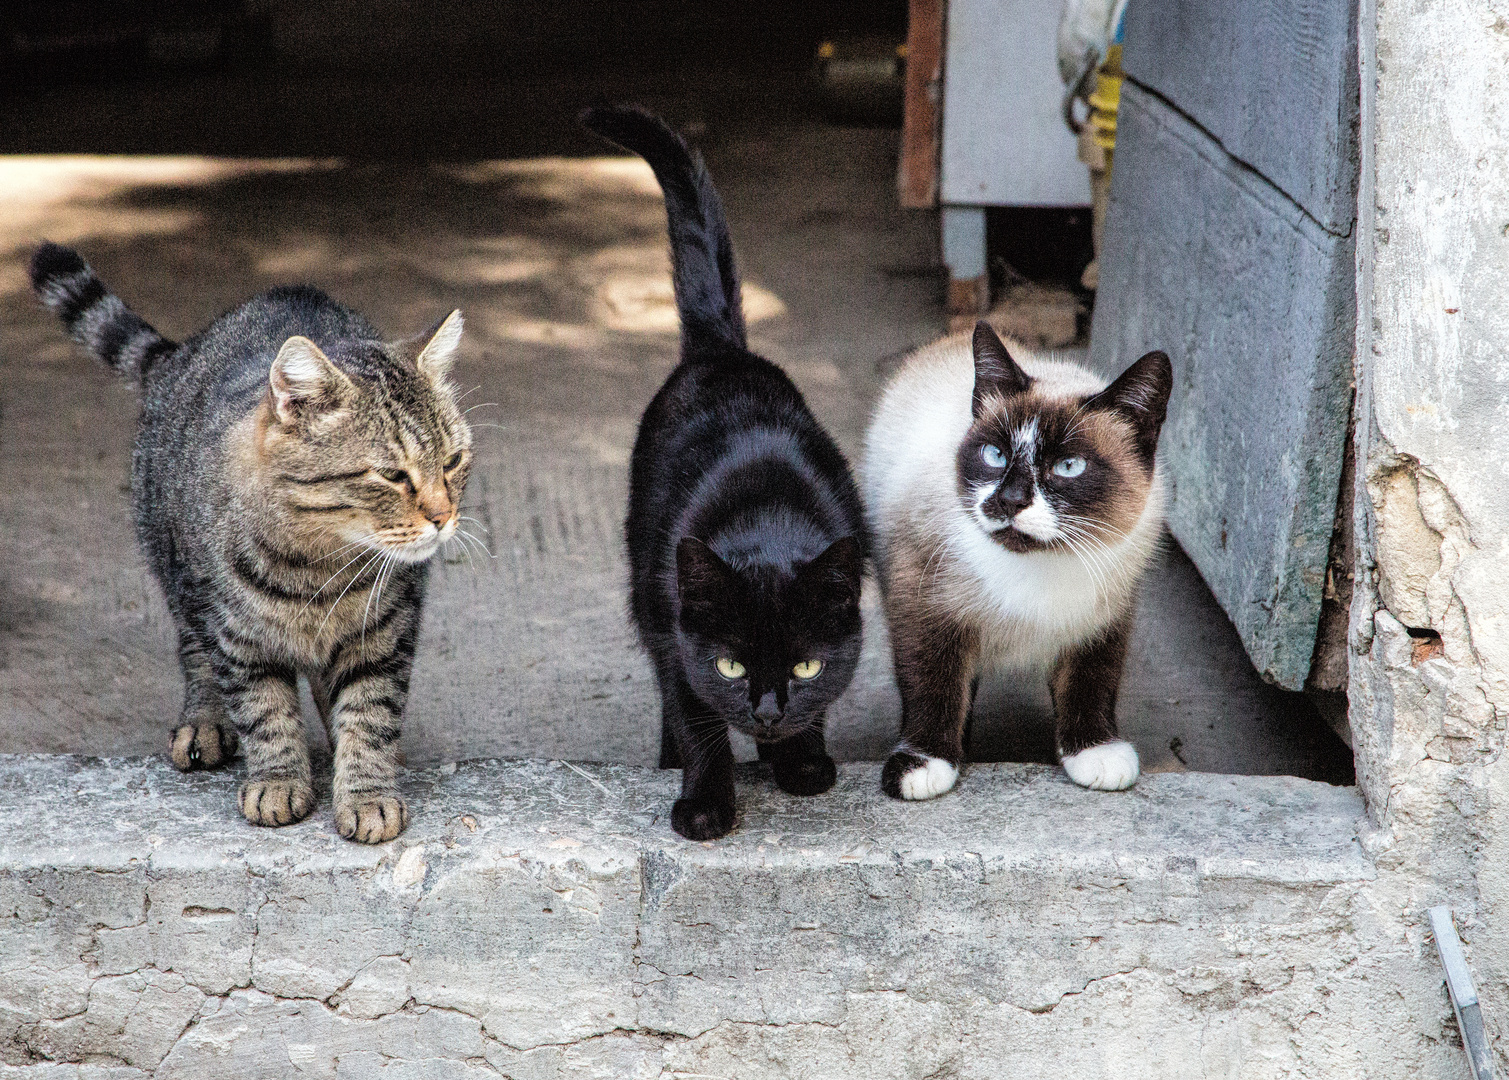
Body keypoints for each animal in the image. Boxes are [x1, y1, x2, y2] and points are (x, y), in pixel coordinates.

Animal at [35, 242, 470, 844]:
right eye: (391, 475)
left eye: (453, 461)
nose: (443, 516)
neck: (319, 565)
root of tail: (182, 353)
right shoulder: (238, 636)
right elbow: (265, 710)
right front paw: (279, 781)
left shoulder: (386, 630)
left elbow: (369, 710)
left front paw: (366, 790)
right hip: (178, 573)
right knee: (194, 650)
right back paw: (204, 721)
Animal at [582, 105, 869, 838]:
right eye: (732, 664)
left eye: (804, 664)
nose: (766, 713)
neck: (766, 518)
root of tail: (721, 350)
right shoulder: (676, 631)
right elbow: (695, 716)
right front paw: (705, 804)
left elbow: (819, 704)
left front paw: (802, 761)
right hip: (645, 581)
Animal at [863, 321, 1164, 802]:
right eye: (995, 456)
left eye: (1069, 466)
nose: (1009, 500)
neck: (1043, 566)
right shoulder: (924, 604)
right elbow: (932, 683)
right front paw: (925, 763)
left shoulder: (1105, 618)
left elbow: (1091, 681)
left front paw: (1095, 752)